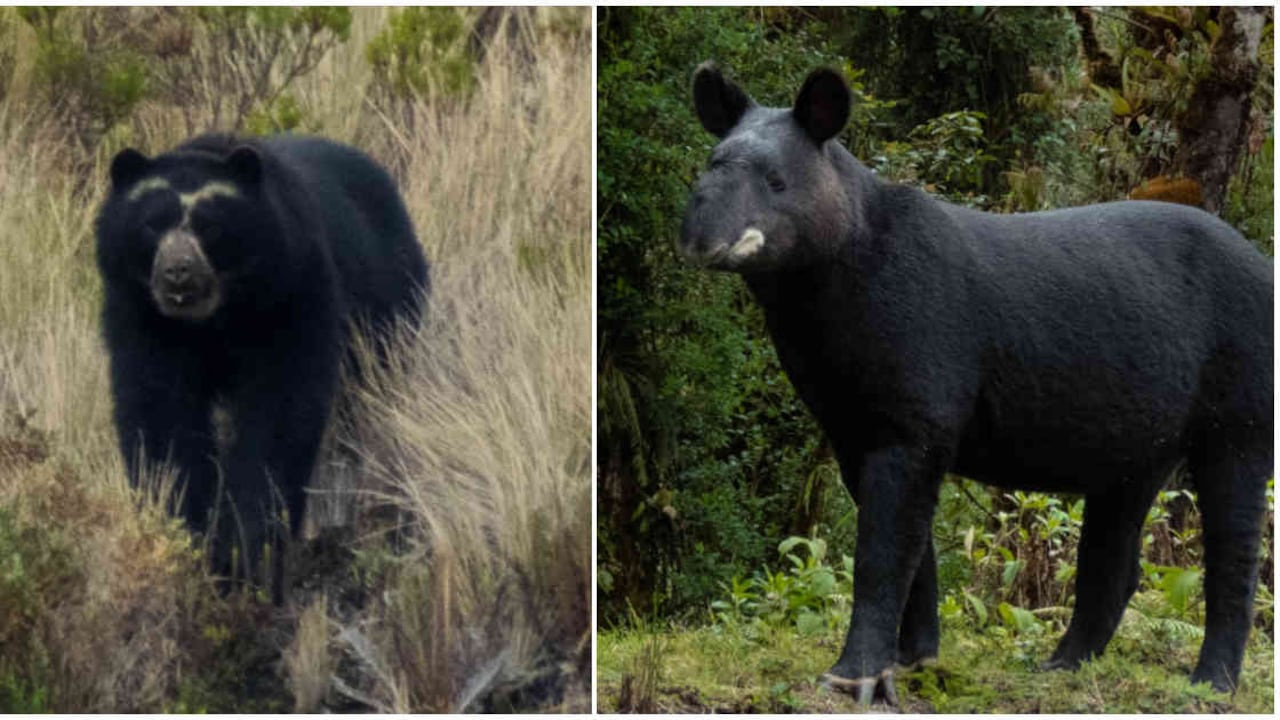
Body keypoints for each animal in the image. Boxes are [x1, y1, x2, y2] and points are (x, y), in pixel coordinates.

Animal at [96, 133, 429, 600]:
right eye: (151, 225)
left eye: (211, 226)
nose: (178, 274)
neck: (214, 320)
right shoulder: (142, 315)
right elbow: (160, 413)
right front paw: (187, 537)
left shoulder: (292, 294)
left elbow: (278, 418)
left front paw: (248, 558)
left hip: (387, 314)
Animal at [680, 64, 1272, 702]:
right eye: (710, 163)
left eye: (776, 182)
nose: (698, 236)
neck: (820, 292)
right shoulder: (849, 421)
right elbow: (913, 551)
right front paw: (913, 661)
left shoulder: (919, 397)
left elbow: (883, 550)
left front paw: (852, 678)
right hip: (1143, 428)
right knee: (1118, 534)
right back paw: (1063, 665)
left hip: (1242, 387)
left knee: (1233, 536)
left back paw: (1211, 683)